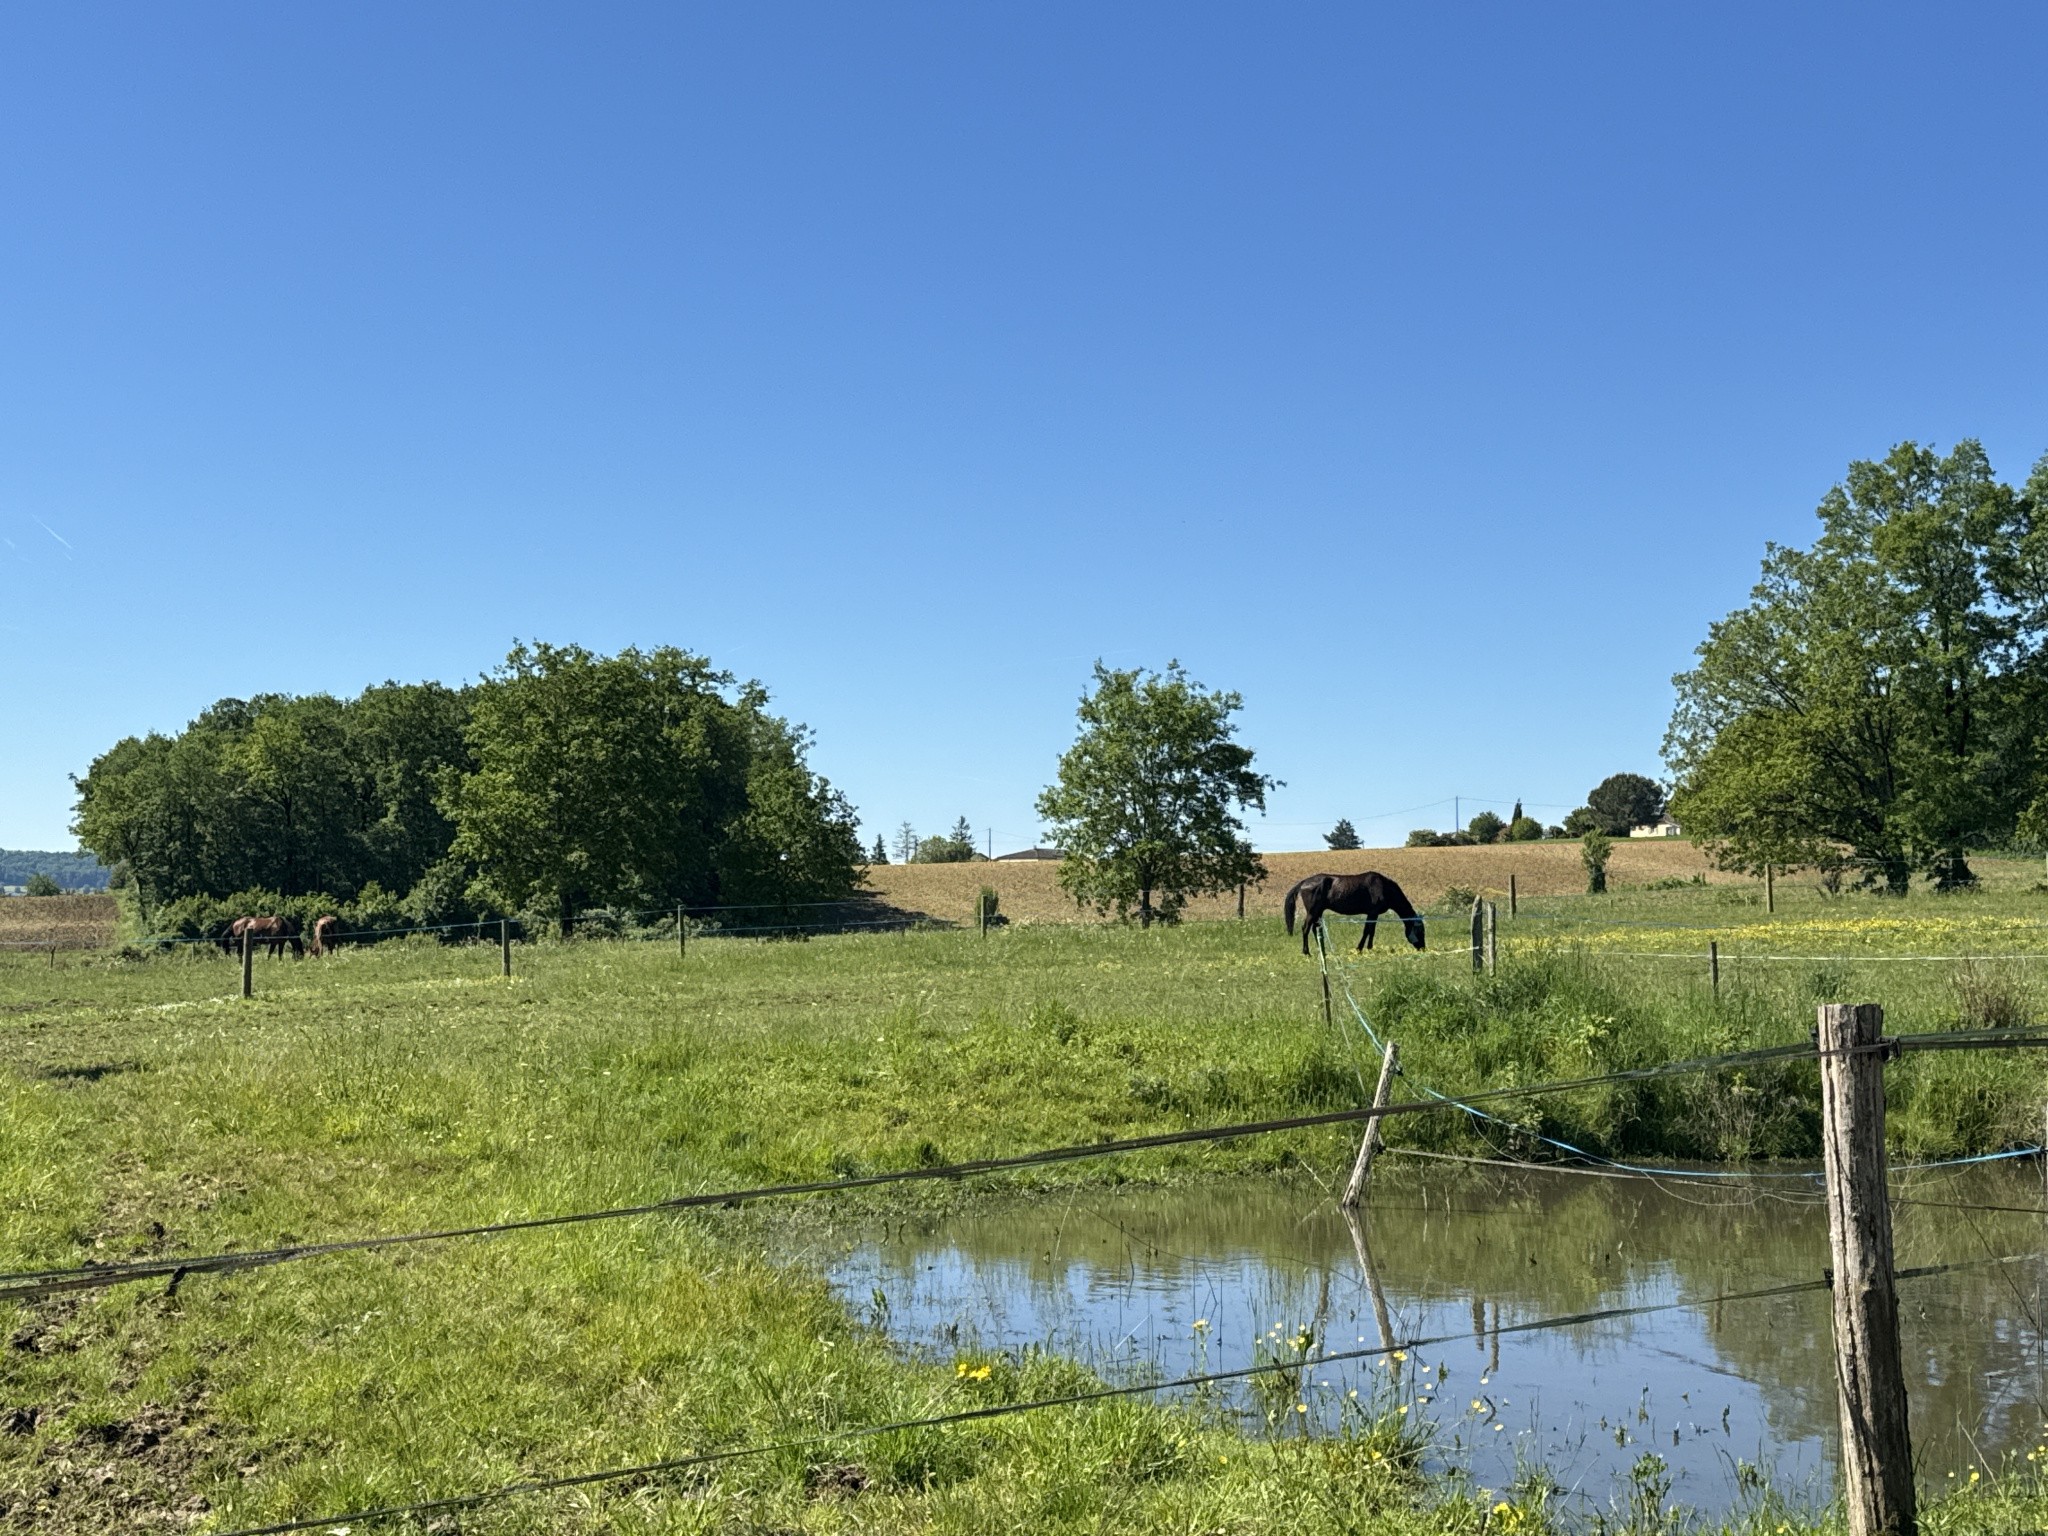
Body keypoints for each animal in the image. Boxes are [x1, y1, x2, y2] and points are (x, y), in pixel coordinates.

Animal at [1277, 872, 1425, 958]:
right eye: (1420, 931)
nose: (1423, 948)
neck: (1384, 887)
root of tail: (1304, 882)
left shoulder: (1373, 914)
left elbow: (1370, 931)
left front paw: (1367, 948)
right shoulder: (1373, 913)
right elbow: (1368, 931)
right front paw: (1362, 949)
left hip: (1318, 912)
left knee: (1315, 929)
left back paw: (1323, 951)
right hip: (1313, 912)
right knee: (1306, 929)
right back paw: (1307, 952)